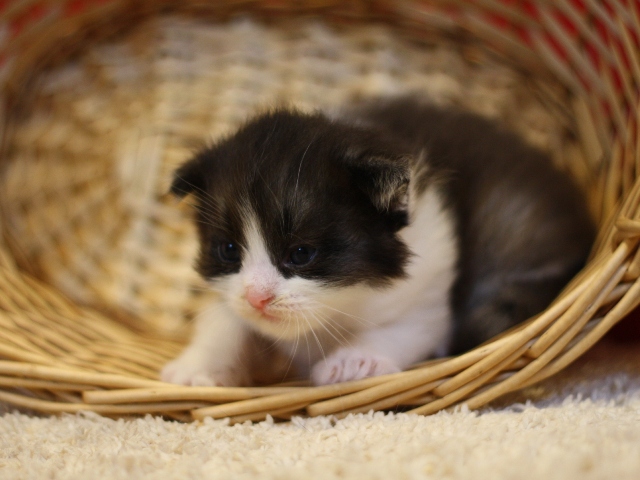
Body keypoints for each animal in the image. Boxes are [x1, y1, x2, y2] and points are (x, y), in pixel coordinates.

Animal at [161, 96, 596, 386]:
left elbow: (407, 329)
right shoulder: (229, 291)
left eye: (300, 254)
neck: (342, 305)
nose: (257, 298)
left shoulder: (428, 287)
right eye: (228, 250)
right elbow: (223, 316)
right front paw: (197, 365)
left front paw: (355, 360)